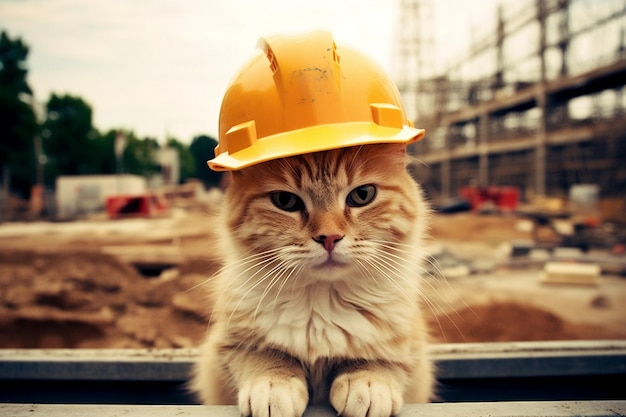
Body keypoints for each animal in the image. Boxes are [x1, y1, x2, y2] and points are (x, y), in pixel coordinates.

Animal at [190, 143, 434, 416]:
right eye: (285, 201)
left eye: (363, 195)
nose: (329, 237)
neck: (323, 302)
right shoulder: (223, 348)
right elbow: (264, 355)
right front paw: (273, 385)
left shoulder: (410, 345)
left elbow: (379, 359)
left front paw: (369, 383)